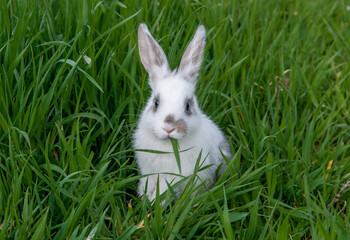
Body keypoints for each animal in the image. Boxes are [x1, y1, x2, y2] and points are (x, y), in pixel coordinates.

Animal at [133, 23, 231, 202]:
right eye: (156, 102)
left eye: (187, 106)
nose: (169, 128)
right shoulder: (148, 172)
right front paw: (145, 197)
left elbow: (164, 190)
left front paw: (153, 201)